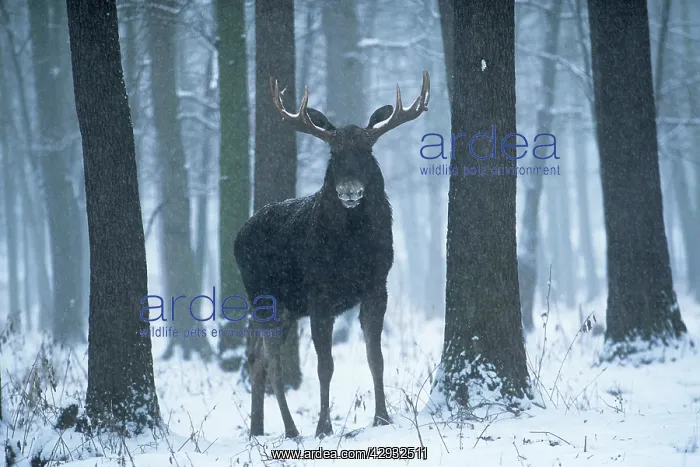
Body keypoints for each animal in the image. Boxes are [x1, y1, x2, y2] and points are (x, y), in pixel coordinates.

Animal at [234, 71, 430, 438]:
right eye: (333, 153)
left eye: (367, 151)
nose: (349, 190)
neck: (351, 252)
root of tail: (237, 237)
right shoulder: (319, 294)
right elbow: (325, 365)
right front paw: (324, 426)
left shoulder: (377, 287)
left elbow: (376, 357)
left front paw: (382, 417)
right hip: (264, 298)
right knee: (272, 364)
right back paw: (291, 429)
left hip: (284, 308)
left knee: (257, 360)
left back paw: (257, 429)